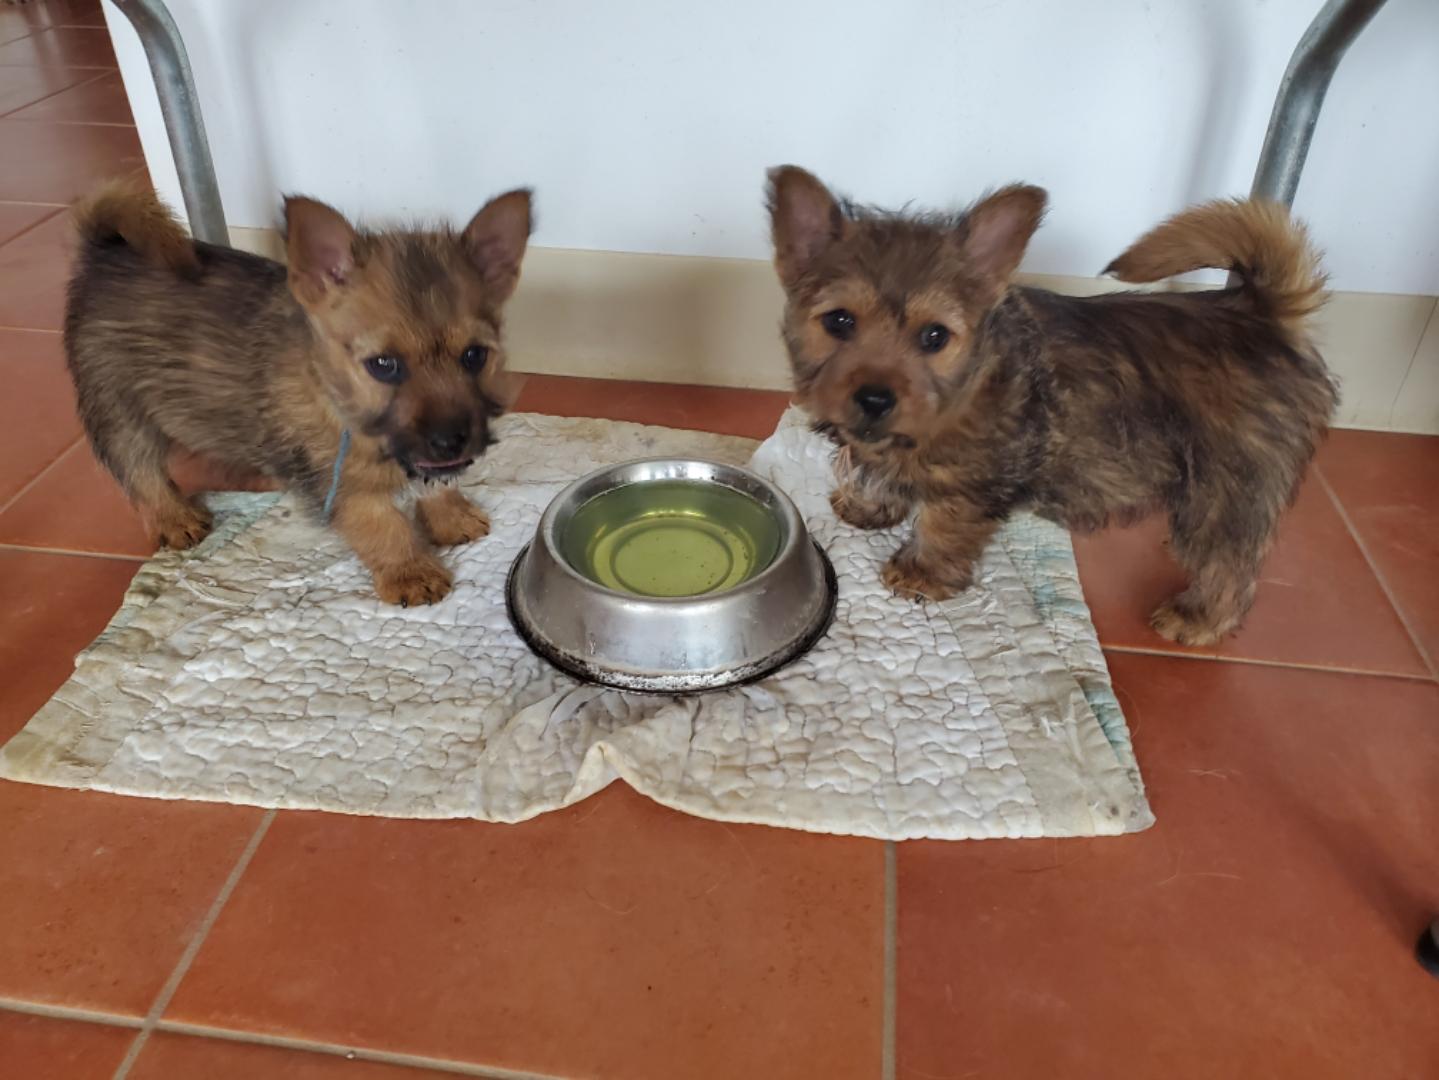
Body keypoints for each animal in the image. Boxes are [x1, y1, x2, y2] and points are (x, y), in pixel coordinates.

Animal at [64, 181, 531, 606]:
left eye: (474, 356)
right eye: (384, 365)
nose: (450, 440)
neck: (334, 397)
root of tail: (107, 251)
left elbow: (436, 484)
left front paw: (452, 518)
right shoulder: (345, 487)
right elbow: (383, 525)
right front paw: (410, 572)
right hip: (118, 409)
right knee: (141, 473)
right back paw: (175, 518)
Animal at [766, 166, 1336, 645]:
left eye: (934, 336)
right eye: (839, 322)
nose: (875, 397)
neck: (966, 386)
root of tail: (1261, 317)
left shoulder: (972, 486)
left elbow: (942, 527)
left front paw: (920, 572)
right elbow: (883, 473)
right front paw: (869, 504)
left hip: (1229, 484)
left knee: (1231, 564)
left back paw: (1197, 618)